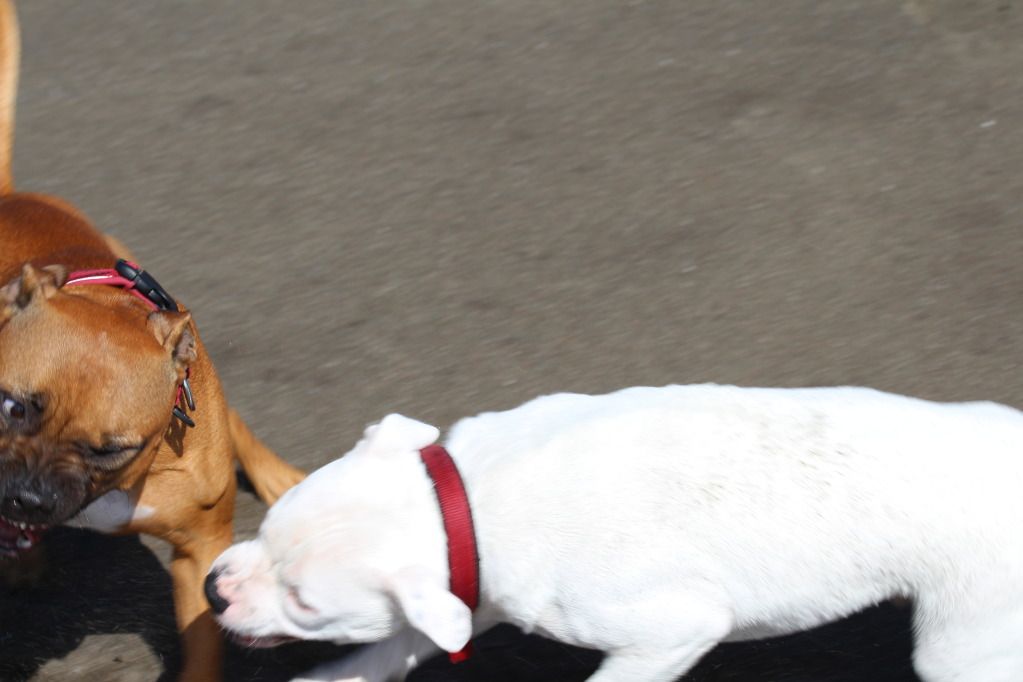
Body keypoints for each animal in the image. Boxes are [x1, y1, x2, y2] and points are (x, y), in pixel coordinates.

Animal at [203, 384, 1023, 682]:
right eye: (267, 523)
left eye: (306, 605)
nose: (212, 590)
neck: (465, 502)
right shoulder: (459, 593)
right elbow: (399, 642)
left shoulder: (670, 631)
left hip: (962, 646)